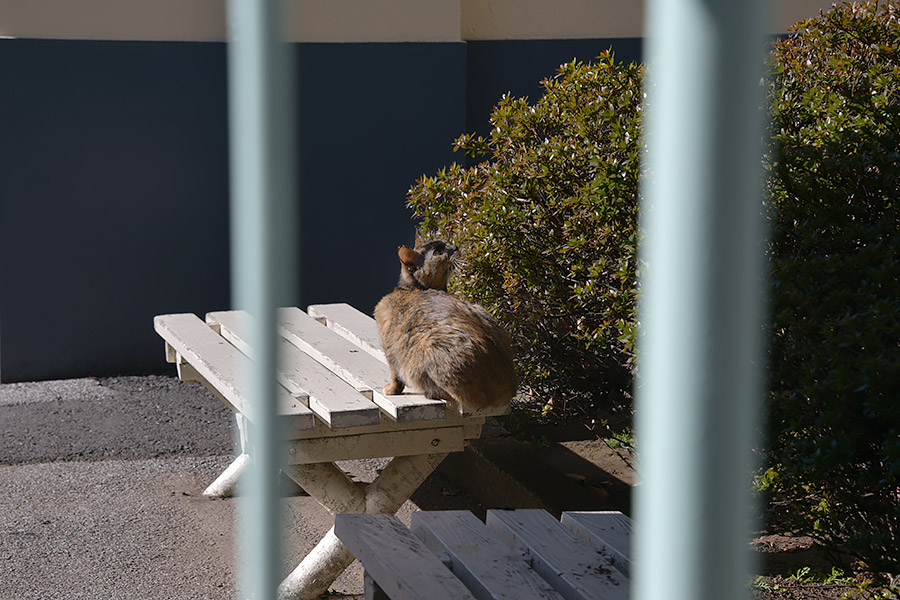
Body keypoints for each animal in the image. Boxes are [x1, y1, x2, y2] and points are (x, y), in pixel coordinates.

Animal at [370, 232, 516, 410]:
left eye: (445, 244)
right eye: (438, 252)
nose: (455, 246)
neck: (412, 288)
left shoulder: (390, 346)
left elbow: (395, 375)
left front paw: (390, 390)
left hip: (430, 344)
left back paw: (430, 392)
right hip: (484, 314)